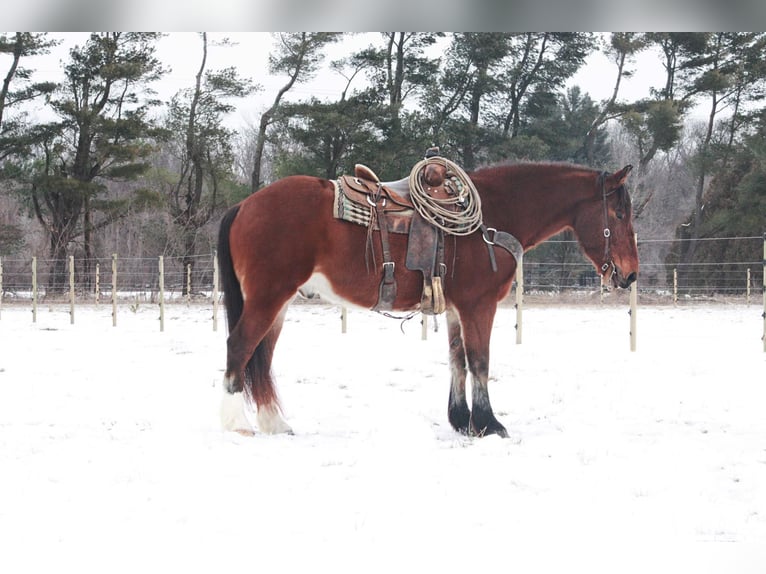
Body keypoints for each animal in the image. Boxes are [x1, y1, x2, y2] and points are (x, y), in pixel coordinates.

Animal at [218, 160, 640, 438]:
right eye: (620, 213)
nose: (630, 272)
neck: (493, 218)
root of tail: (245, 205)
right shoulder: (478, 306)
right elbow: (480, 361)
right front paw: (490, 424)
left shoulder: (455, 309)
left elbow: (457, 361)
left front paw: (462, 421)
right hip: (268, 298)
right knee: (240, 346)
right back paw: (238, 424)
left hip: (279, 302)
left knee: (262, 357)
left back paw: (274, 423)